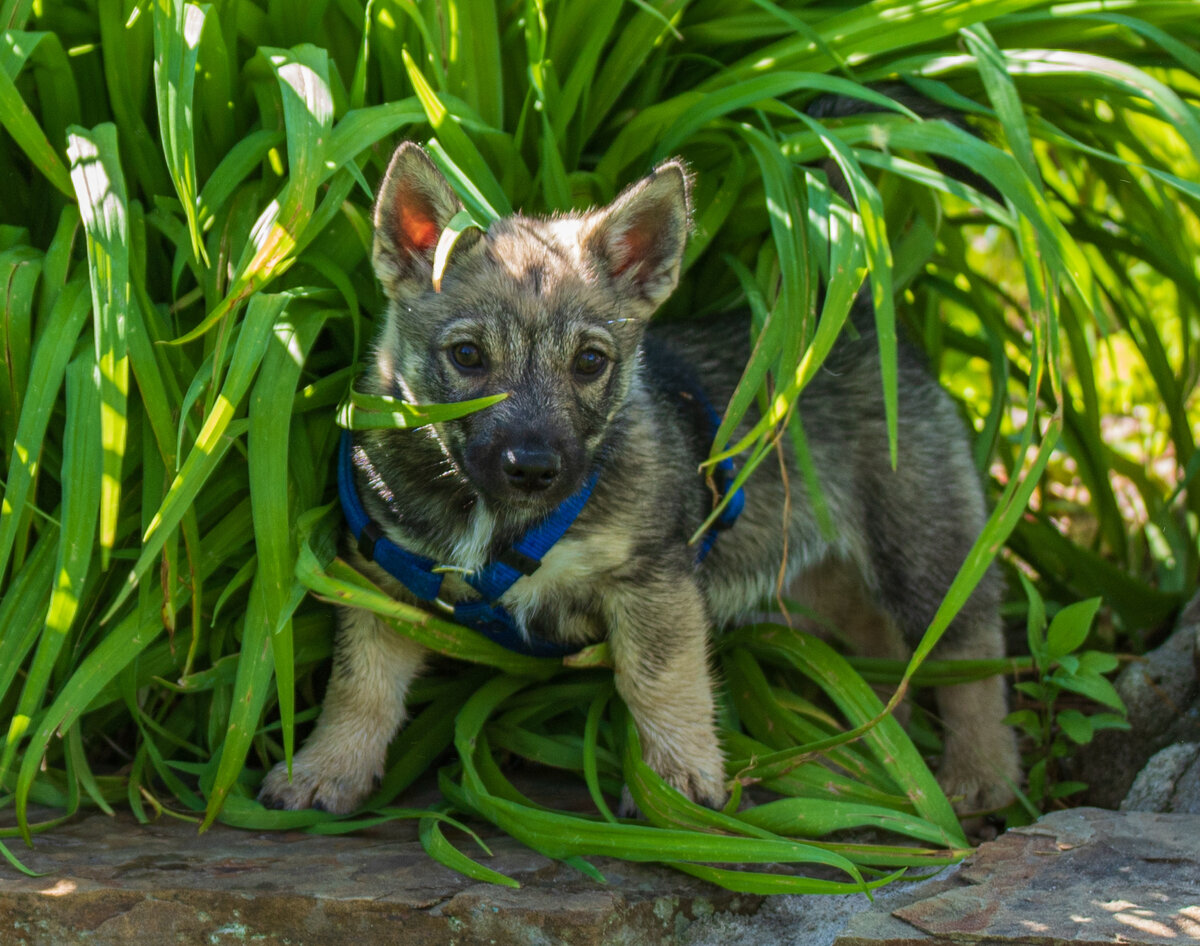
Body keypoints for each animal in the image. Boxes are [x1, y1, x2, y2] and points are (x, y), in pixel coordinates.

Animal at [262, 144, 1022, 816]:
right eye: (469, 356)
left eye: (590, 362)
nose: (534, 468)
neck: (496, 518)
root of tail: (859, 321)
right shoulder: (380, 579)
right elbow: (360, 686)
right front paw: (327, 768)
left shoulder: (653, 580)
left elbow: (661, 683)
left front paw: (678, 786)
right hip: (823, 581)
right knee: (890, 649)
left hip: (923, 544)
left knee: (971, 653)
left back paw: (978, 776)